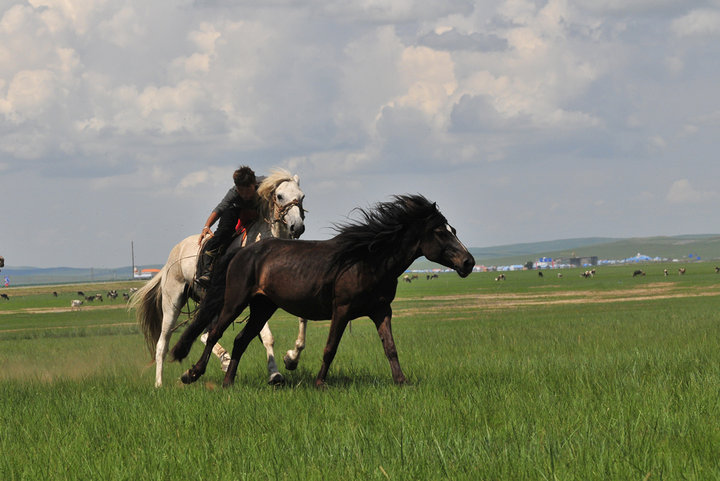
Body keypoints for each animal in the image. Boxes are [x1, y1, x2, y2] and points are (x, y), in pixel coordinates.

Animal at [128, 169, 308, 386]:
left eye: (302, 196)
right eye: (280, 196)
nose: (297, 227)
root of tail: (170, 259)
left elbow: (296, 321)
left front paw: (287, 362)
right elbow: (265, 335)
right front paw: (276, 370)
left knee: (205, 334)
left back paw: (223, 361)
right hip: (173, 303)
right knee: (163, 343)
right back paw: (160, 384)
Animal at [171, 193, 476, 384]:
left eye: (453, 230)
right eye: (440, 232)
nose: (469, 262)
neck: (367, 260)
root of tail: (242, 252)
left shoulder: (381, 310)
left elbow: (390, 347)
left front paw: (402, 381)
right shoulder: (341, 309)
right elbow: (331, 347)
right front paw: (320, 382)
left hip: (263, 306)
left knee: (240, 340)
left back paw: (228, 382)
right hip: (236, 301)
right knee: (215, 332)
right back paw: (192, 374)